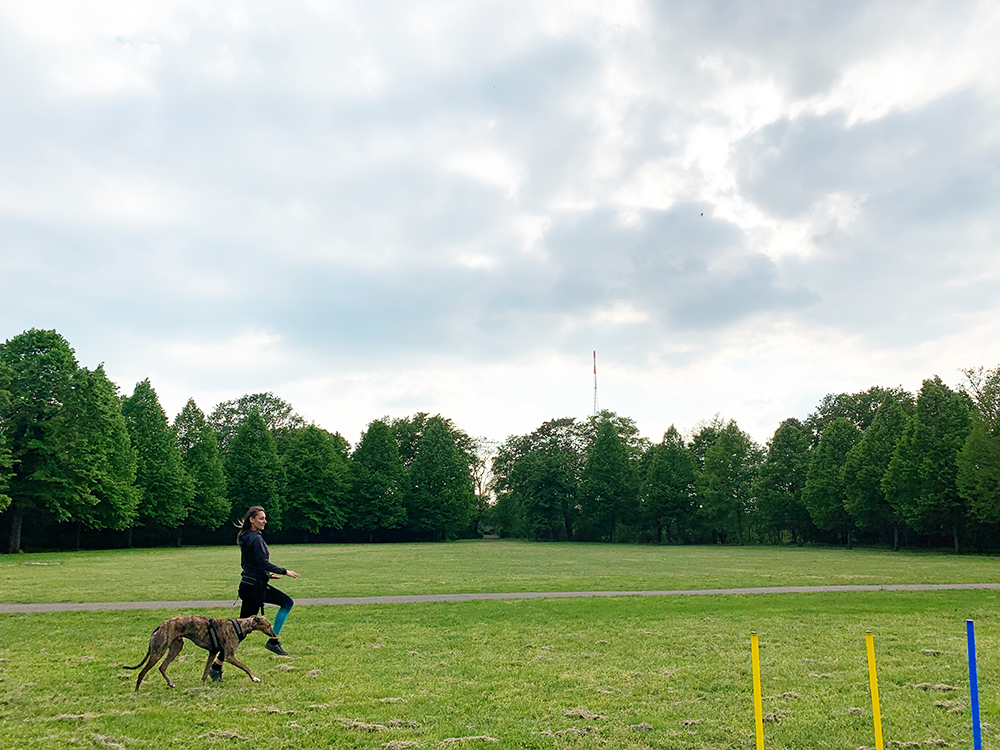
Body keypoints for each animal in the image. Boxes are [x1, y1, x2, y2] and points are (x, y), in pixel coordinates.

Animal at [124, 616, 278, 692]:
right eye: (269, 625)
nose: (275, 635)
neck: (240, 626)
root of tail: (160, 626)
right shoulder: (229, 656)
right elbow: (246, 667)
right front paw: (254, 678)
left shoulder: (213, 652)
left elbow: (205, 673)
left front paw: (204, 688)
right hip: (158, 650)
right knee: (142, 672)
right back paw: (136, 692)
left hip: (176, 647)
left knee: (162, 667)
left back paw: (170, 683)